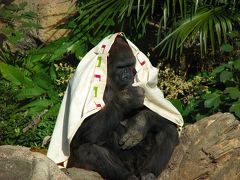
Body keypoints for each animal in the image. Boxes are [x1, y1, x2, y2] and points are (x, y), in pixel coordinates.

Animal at [66, 35, 179, 179]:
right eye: (120, 67)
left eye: (130, 65)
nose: (128, 76)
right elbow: (79, 136)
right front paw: (126, 100)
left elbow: (168, 118)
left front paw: (140, 123)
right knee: (85, 150)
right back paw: (128, 176)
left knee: (169, 131)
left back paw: (148, 173)